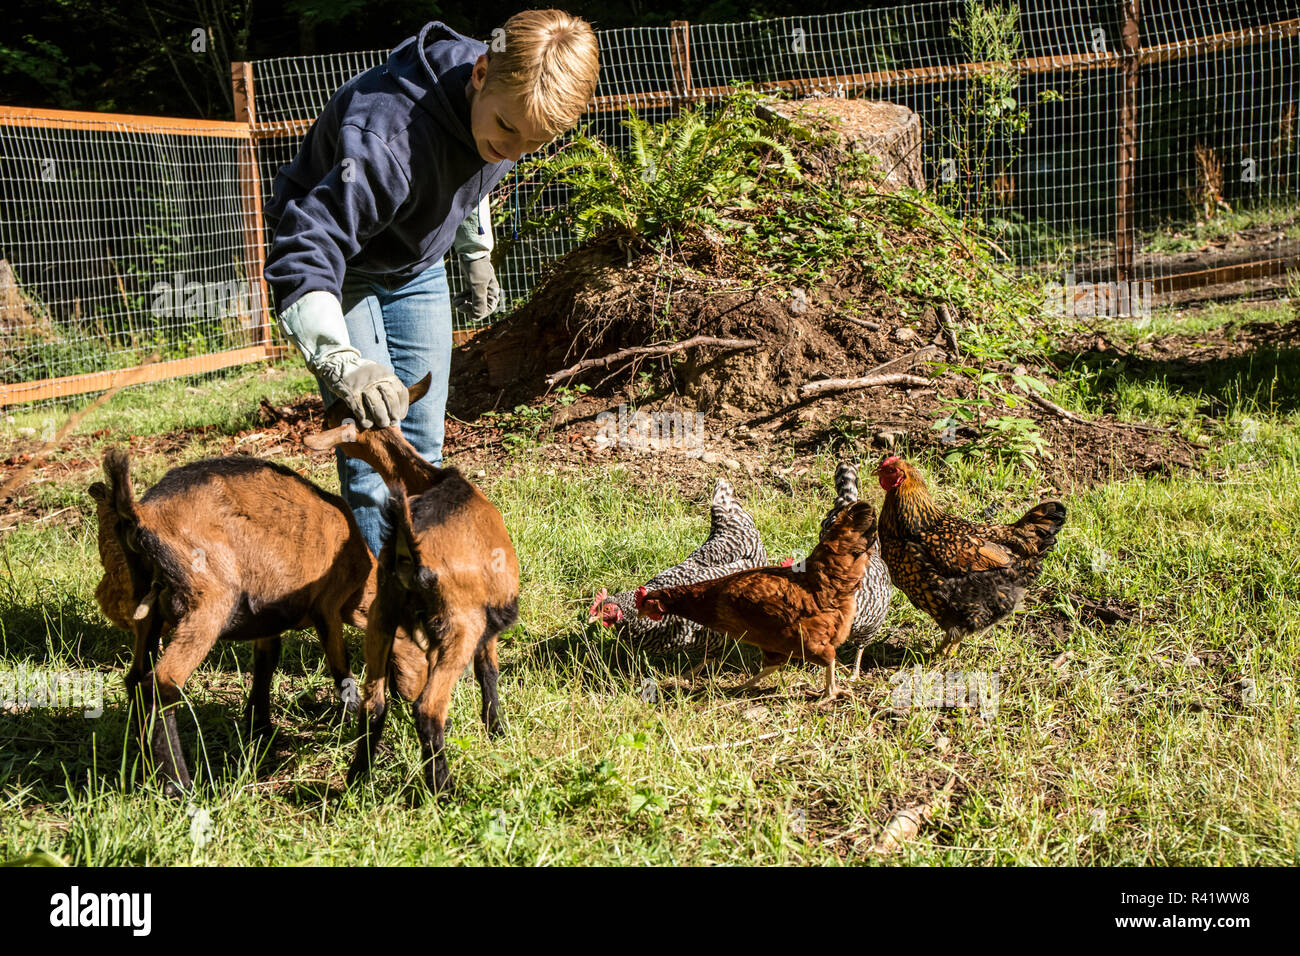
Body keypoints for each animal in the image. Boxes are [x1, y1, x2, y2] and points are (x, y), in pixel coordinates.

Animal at [305, 379, 520, 796]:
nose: (321, 419)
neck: (427, 480)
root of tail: (409, 540)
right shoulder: (488, 621)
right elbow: (488, 672)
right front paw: (498, 732)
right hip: (460, 624)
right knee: (428, 708)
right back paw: (444, 790)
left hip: (382, 616)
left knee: (374, 704)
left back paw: (356, 783)